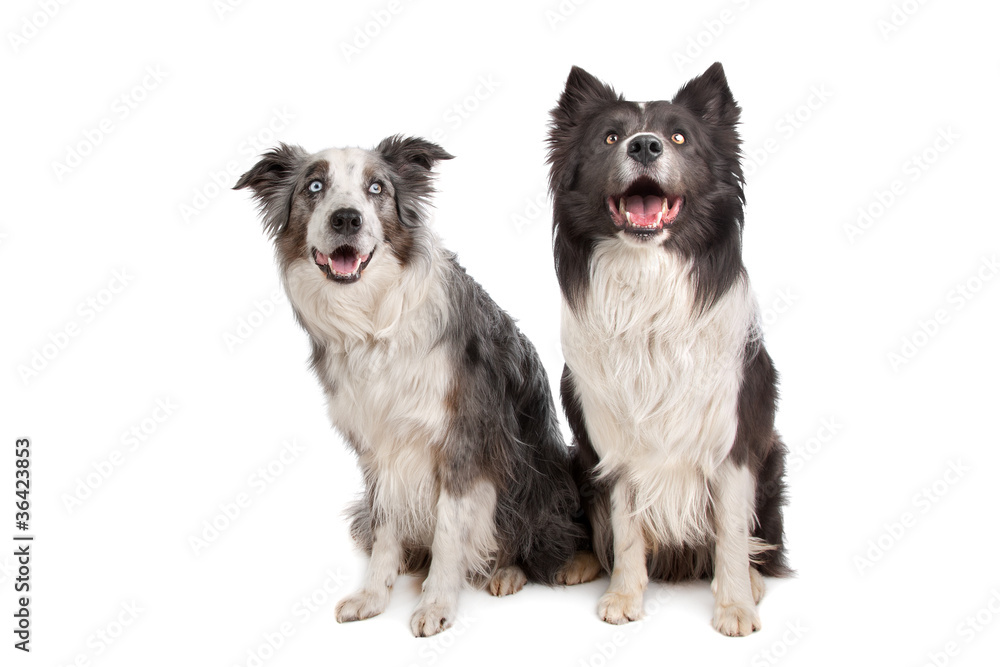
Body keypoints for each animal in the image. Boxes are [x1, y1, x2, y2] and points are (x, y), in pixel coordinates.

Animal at [234, 136, 596, 636]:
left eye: (377, 188)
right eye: (314, 186)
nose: (346, 218)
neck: (373, 320)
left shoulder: (462, 441)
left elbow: (449, 533)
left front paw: (436, 604)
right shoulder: (378, 449)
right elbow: (386, 525)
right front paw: (373, 593)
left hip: (533, 474)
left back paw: (519, 569)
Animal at [548, 66, 788, 636]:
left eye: (679, 138)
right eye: (609, 137)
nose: (644, 144)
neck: (647, 285)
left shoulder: (733, 438)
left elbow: (730, 531)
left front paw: (734, 605)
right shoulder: (610, 440)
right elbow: (625, 527)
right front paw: (624, 595)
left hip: (773, 459)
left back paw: (754, 579)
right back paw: (581, 562)